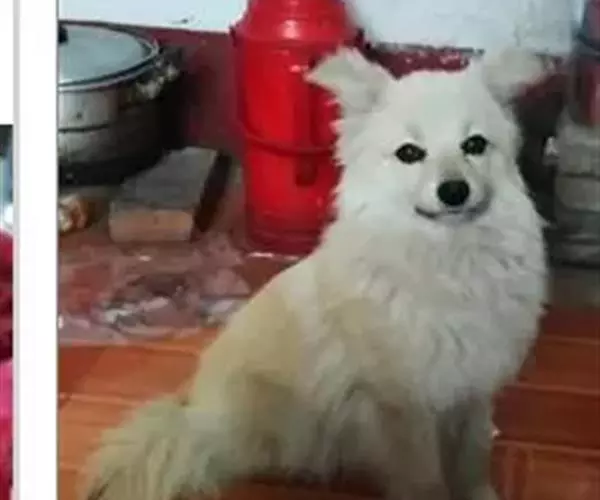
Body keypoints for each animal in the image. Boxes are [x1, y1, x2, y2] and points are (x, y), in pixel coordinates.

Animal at [82, 47, 549, 500]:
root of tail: (195, 411)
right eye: (410, 153)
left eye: (475, 144)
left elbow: (472, 458)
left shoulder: (473, 386)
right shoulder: (404, 404)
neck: (449, 258)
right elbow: (424, 478)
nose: (454, 191)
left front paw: (480, 492)